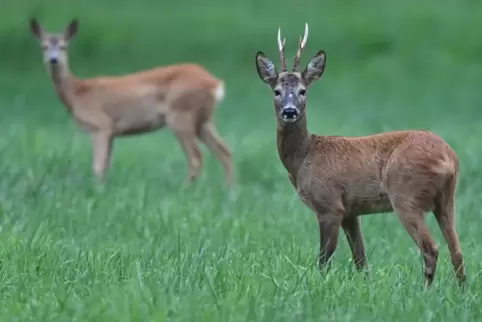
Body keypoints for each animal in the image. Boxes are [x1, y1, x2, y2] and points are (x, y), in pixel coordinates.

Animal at [29, 18, 234, 186]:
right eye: (44, 47)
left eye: (64, 46)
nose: (53, 60)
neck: (77, 92)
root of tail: (215, 83)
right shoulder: (111, 133)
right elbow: (105, 167)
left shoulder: (100, 126)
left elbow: (97, 167)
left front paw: (96, 191)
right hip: (204, 119)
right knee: (225, 151)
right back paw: (230, 192)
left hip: (181, 114)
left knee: (196, 158)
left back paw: (186, 190)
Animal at [256, 22, 466, 286]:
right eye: (276, 91)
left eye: (303, 91)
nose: (290, 111)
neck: (304, 157)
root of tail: (449, 157)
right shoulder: (350, 211)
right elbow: (361, 259)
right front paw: (367, 287)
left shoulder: (329, 204)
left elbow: (324, 259)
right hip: (447, 198)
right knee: (457, 250)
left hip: (406, 195)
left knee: (431, 248)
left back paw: (425, 290)